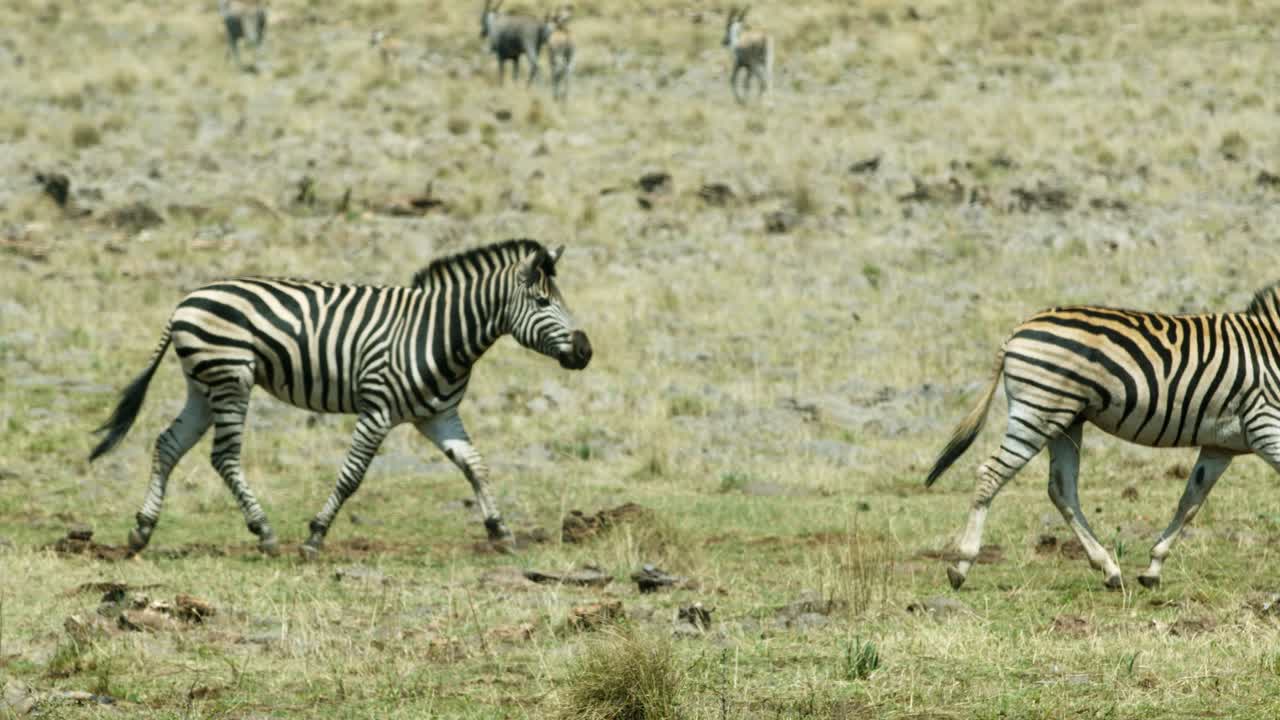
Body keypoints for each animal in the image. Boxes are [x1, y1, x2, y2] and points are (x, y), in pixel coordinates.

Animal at [89, 239, 593, 558]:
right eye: (544, 303)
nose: (586, 351)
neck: (439, 334)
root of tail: (185, 301)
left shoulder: (438, 415)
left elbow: (475, 466)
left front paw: (500, 531)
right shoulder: (378, 409)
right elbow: (352, 477)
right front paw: (315, 537)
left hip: (203, 384)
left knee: (168, 444)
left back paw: (142, 531)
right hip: (232, 376)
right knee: (224, 456)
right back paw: (266, 534)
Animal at [925, 282, 1280, 590]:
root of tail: (1017, 331)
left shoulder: (1220, 445)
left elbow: (1190, 501)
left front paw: (1153, 568)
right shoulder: (1266, 425)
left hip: (1064, 420)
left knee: (1061, 488)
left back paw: (1108, 568)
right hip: (1038, 410)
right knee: (990, 474)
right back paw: (961, 565)